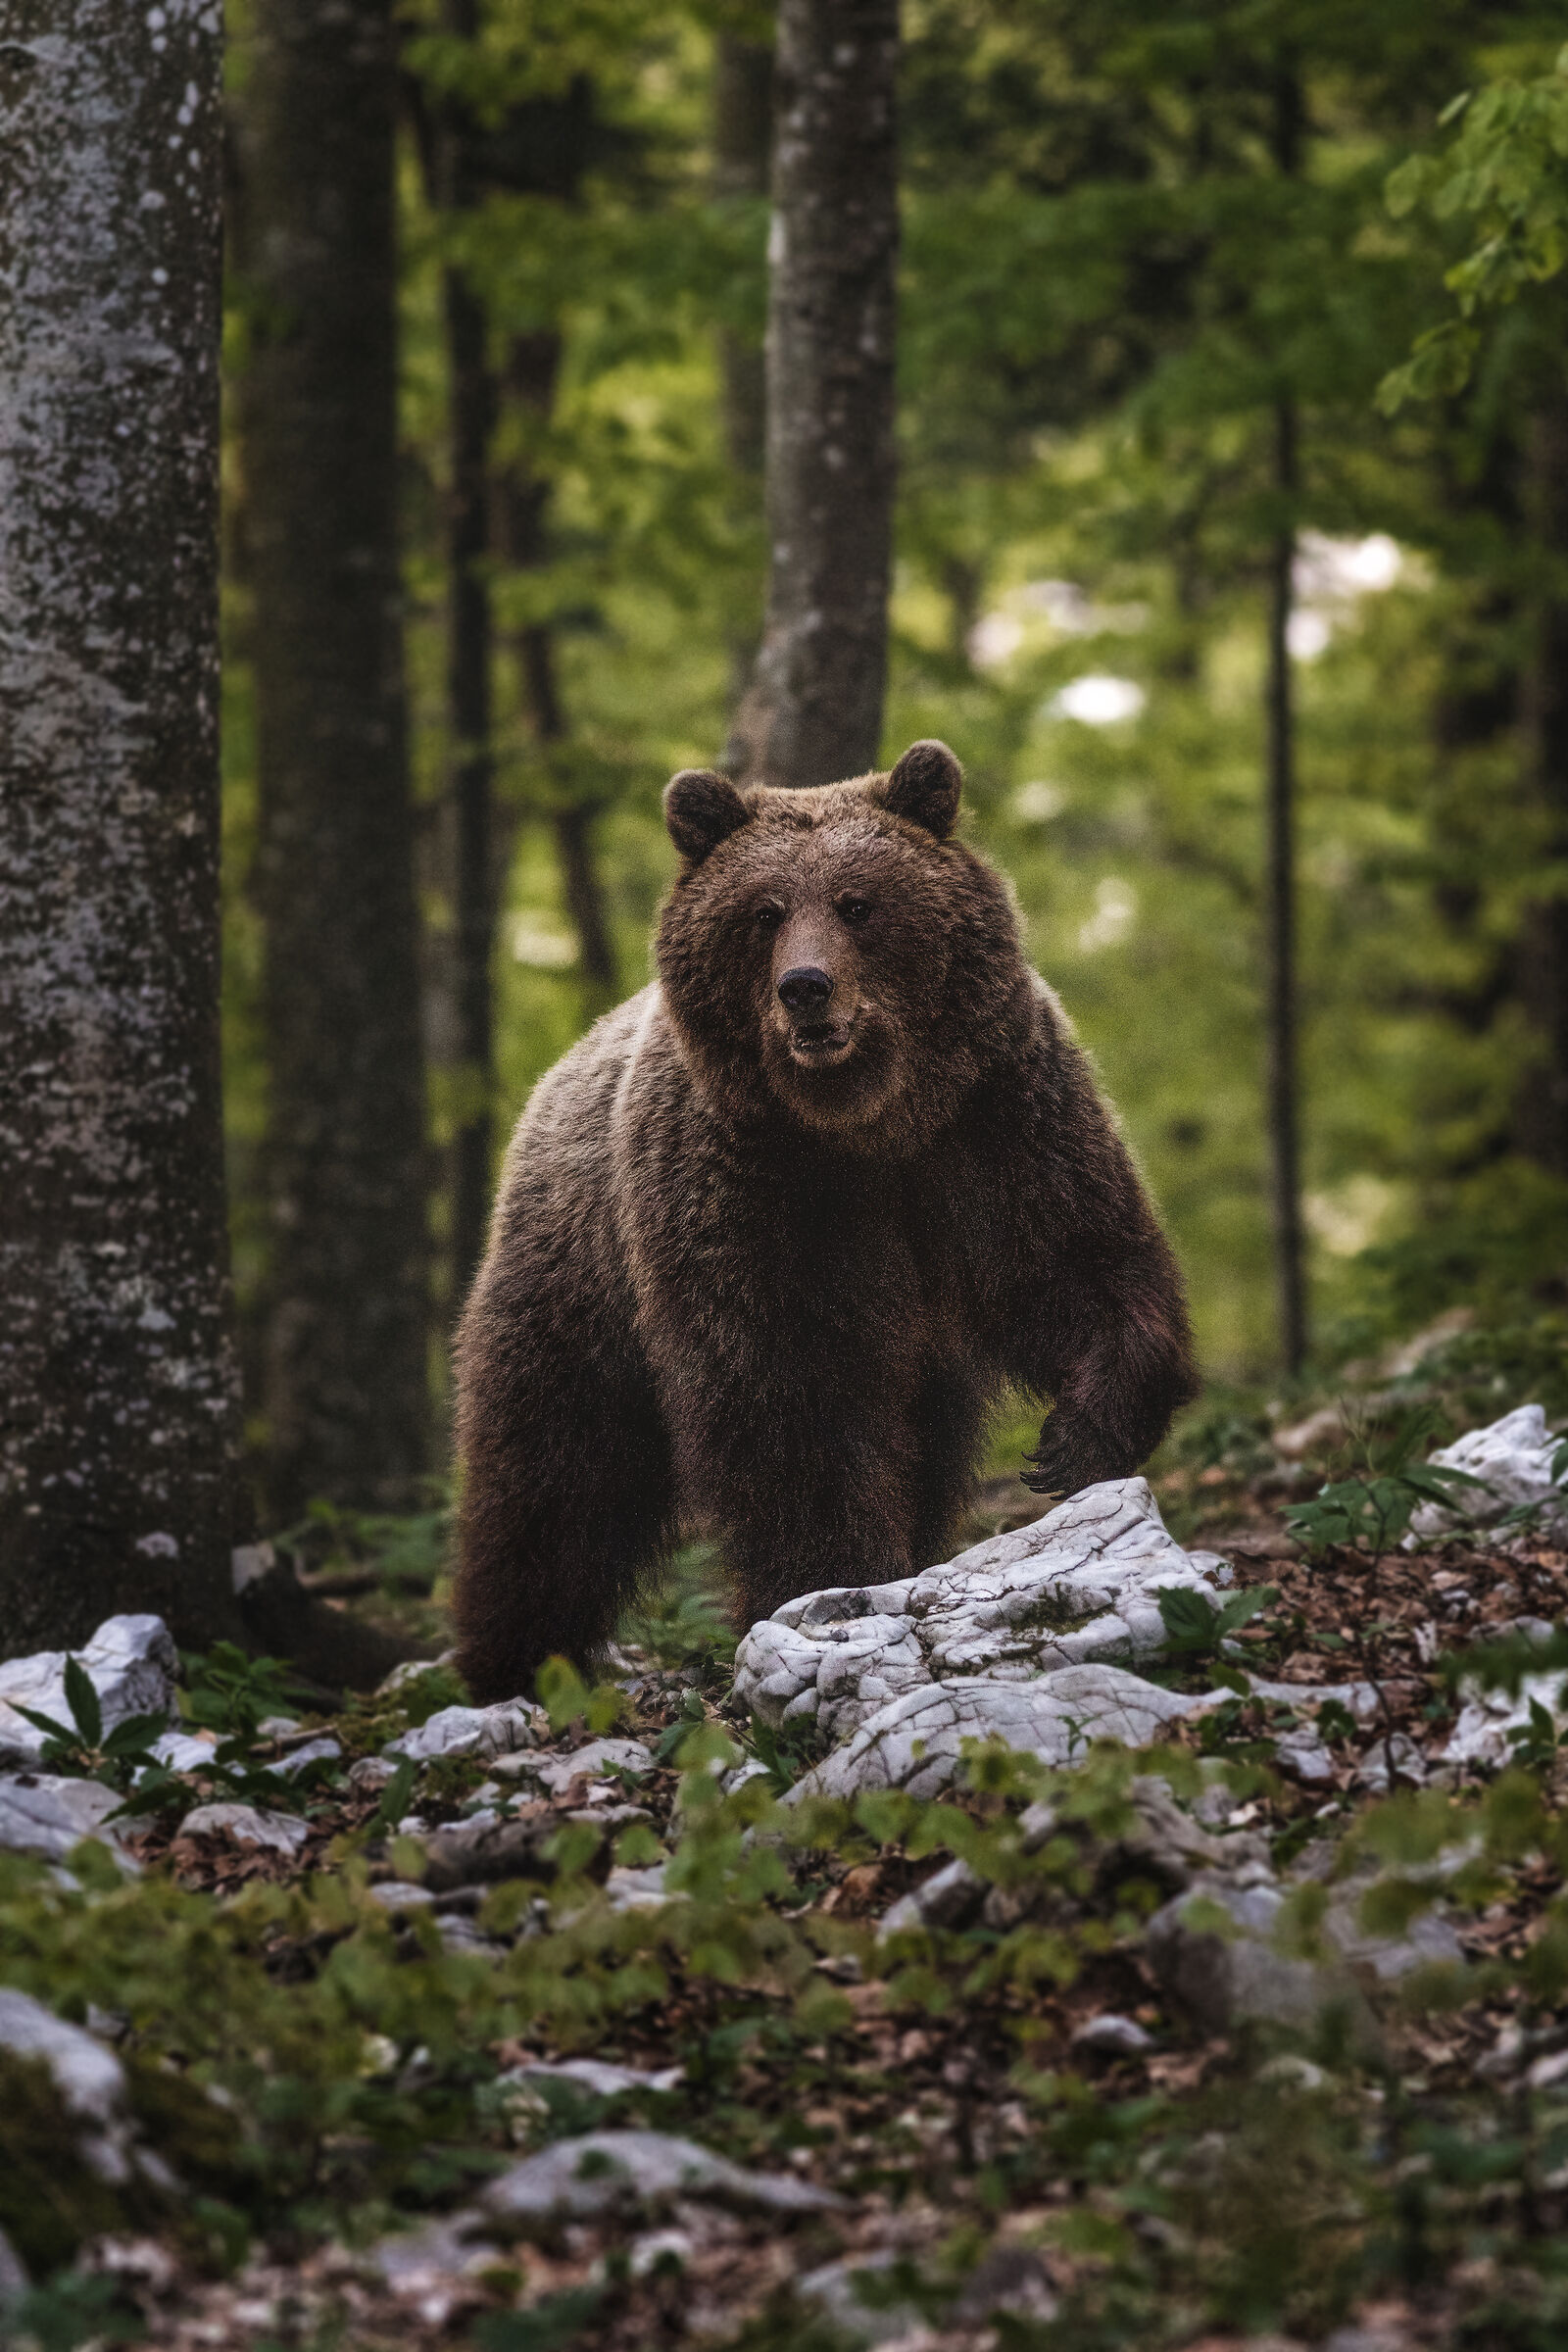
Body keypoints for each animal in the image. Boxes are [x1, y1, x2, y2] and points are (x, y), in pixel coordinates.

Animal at [452, 740, 1199, 1703]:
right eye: (764, 912)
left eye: (858, 903)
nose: (804, 987)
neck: (867, 1124)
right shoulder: (755, 1189)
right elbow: (793, 1397)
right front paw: (828, 1580)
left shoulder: (998, 1124)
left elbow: (1082, 1259)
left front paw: (1073, 1441)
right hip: (578, 1279)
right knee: (551, 1477)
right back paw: (512, 1660)